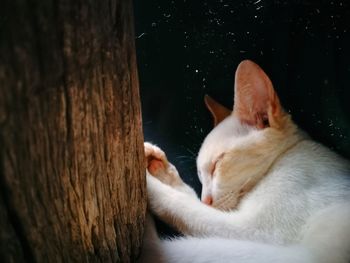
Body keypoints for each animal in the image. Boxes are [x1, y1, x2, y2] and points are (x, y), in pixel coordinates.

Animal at [141, 60, 350, 263]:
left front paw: (149, 183)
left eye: (216, 165)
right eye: (200, 175)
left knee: (157, 251)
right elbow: (189, 199)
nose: (207, 200)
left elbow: (182, 206)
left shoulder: (255, 229)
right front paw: (162, 170)